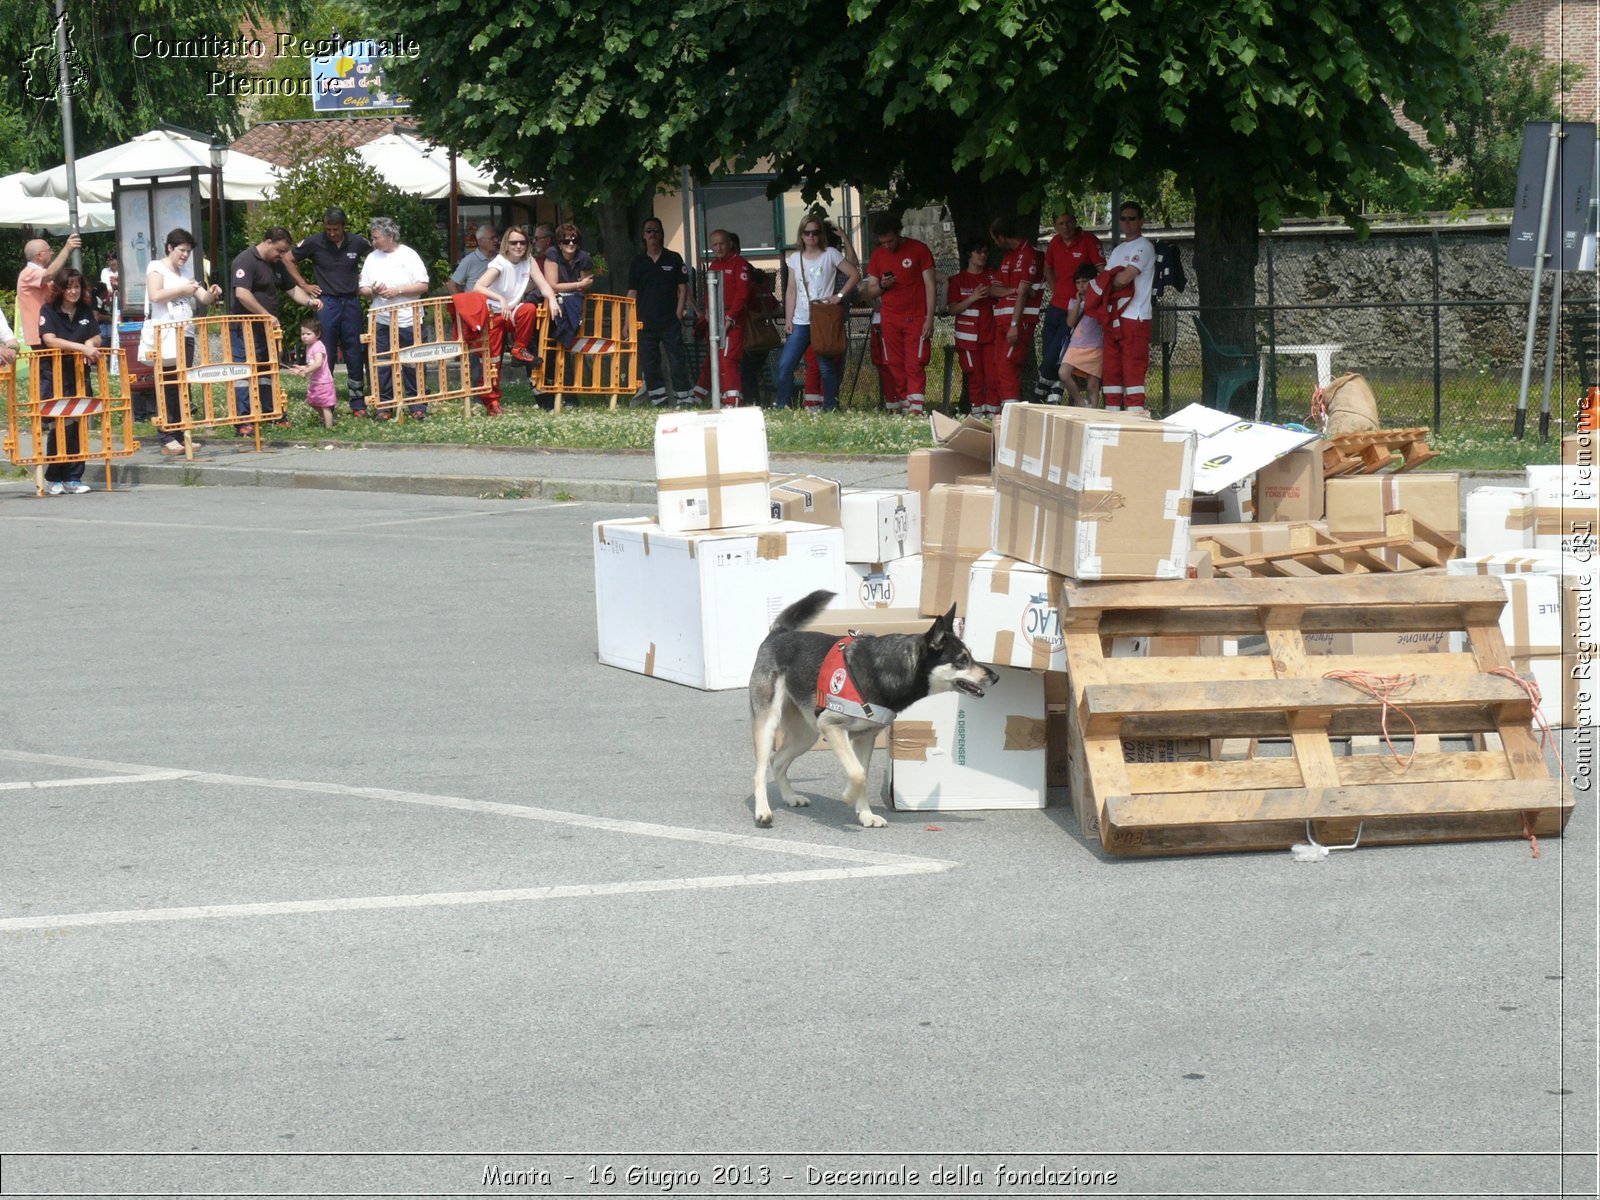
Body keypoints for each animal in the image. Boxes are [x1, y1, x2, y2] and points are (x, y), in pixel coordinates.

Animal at [752, 588, 998, 825]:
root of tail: (778, 633)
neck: (888, 668)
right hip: (769, 725)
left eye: (970, 656)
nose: (995, 677)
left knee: (777, 761)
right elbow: (857, 773)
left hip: (807, 734)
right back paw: (762, 812)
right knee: (760, 770)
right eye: (961, 660)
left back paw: (790, 797)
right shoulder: (833, 726)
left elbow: (863, 774)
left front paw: (865, 815)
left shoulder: (865, 737)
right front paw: (849, 797)